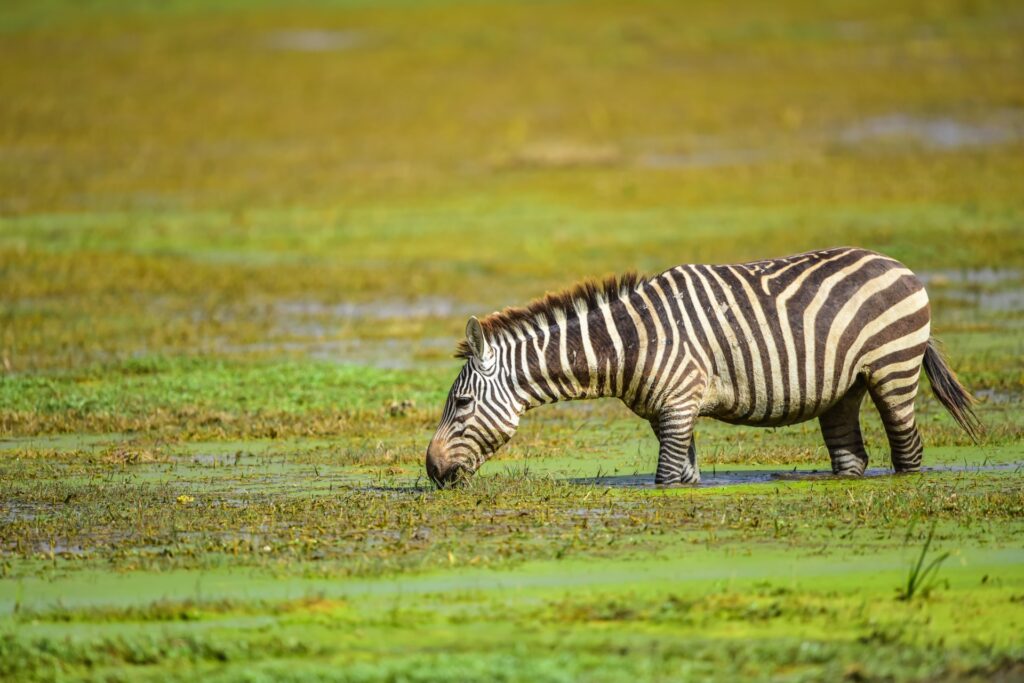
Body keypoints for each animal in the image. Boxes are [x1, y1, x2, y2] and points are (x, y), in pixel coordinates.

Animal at [425, 247, 980, 487]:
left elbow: (666, 479)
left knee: (908, 452)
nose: (430, 470)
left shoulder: (676, 407)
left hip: (893, 370)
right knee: (851, 457)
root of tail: (898, 264)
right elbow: (685, 474)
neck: (628, 342)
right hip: (843, 389)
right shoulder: (671, 413)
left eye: (461, 403)